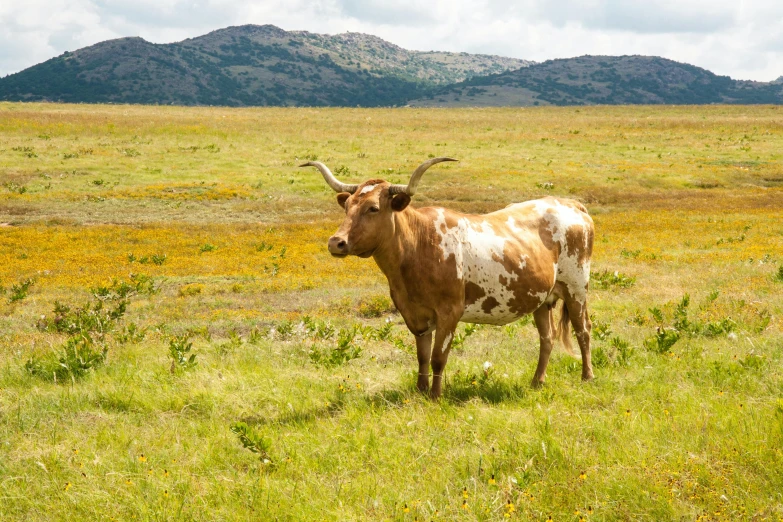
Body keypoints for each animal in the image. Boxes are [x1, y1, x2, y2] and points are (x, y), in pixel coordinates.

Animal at [300, 156, 596, 396]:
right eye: (347, 205)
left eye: (373, 208)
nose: (336, 242)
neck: (417, 245)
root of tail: (571, 204)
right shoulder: (414, 314)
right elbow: (422, 356)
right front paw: (420, 391)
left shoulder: (449, 312)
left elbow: (438, 358)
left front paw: (435, 396)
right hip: (542, 298)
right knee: (547, 338)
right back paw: (537, 382)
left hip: (576, 288)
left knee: (583, 329)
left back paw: (587, 376)